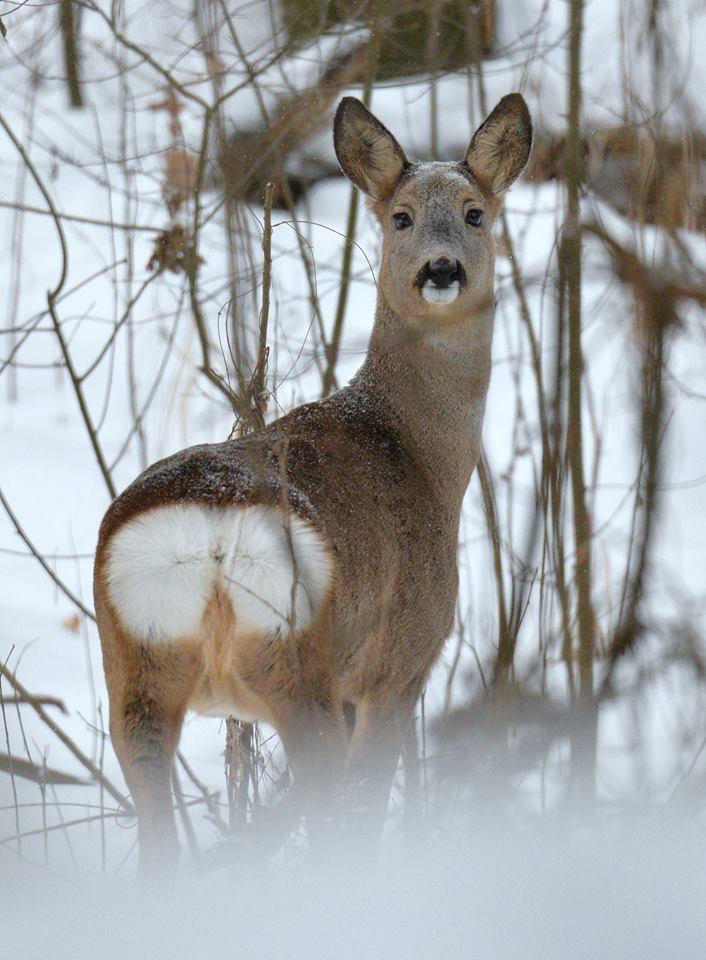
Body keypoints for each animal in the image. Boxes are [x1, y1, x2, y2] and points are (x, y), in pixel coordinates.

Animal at [95, 94, 532, 872]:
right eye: (401, 217)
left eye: (475, 211)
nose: (441, 268)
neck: (418, 450)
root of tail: (207, 535)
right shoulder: (399, 662)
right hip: (296, 658)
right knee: (328, 816)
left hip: (132, 672)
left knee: (159, 843)